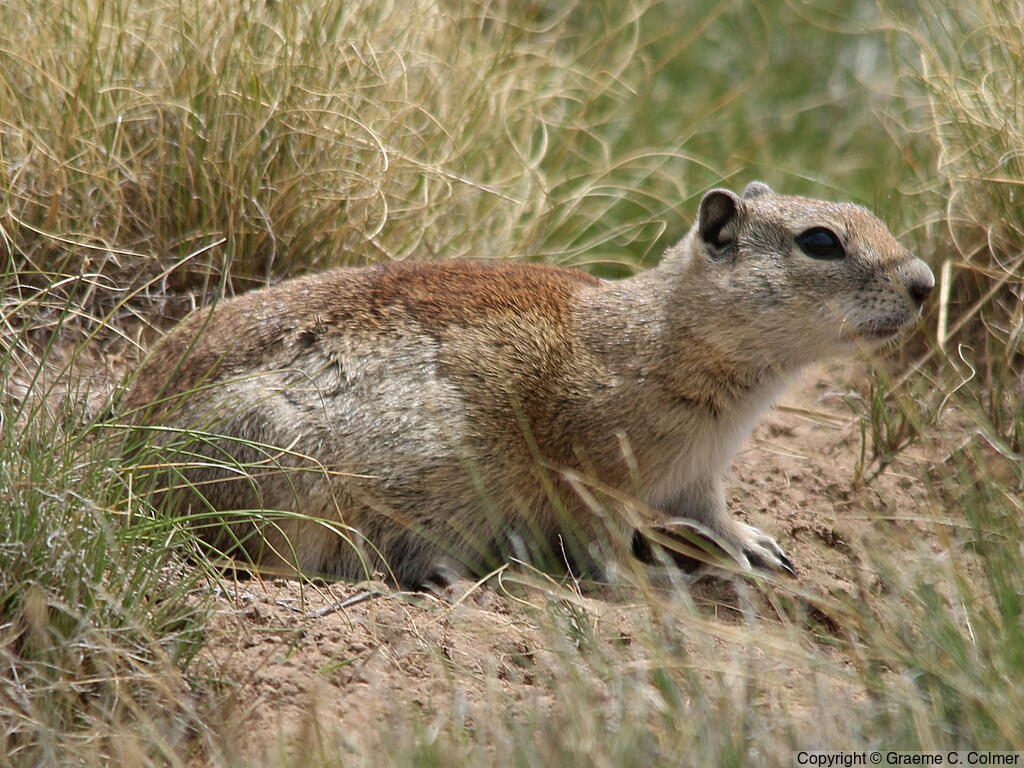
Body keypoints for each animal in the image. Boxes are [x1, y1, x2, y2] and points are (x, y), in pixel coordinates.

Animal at [122, 181, 934, 587]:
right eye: (820, 242)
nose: (926, 283)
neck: (668, 337)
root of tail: (124, 447)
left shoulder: (696, 475)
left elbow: (713, 514)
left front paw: (755, 546)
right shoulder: (589, 473)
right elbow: (603, 542)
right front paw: (642, 580)